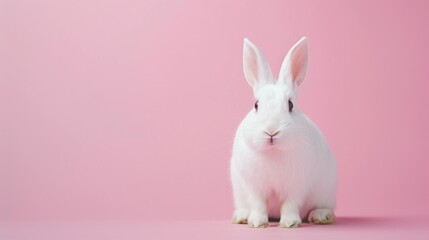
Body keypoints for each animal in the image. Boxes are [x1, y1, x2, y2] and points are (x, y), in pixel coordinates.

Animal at [229, 37, 336, 227]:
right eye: (256, 105)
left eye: (290, 104)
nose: (271, 131)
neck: (274, 152)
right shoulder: (253, 186)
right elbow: (258, 203)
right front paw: (257, 223)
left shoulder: (297, 185)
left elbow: (290, 203)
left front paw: (289, 223)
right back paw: (241, 216)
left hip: (327, 191)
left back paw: (321, 216)